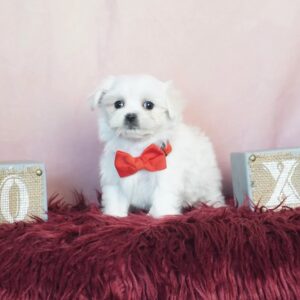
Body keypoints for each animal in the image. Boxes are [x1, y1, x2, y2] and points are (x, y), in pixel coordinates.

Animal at [90, 74, 224, 217]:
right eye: (118, 104)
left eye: (149, 105)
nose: (130, 116)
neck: (138, 149)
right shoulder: (115, 174)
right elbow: (115, 198)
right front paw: (113, 215)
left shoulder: (166, 176)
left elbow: (162, 197)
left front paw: (163, 215)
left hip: (207, 179)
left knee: (210, 192)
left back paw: (212, 205)